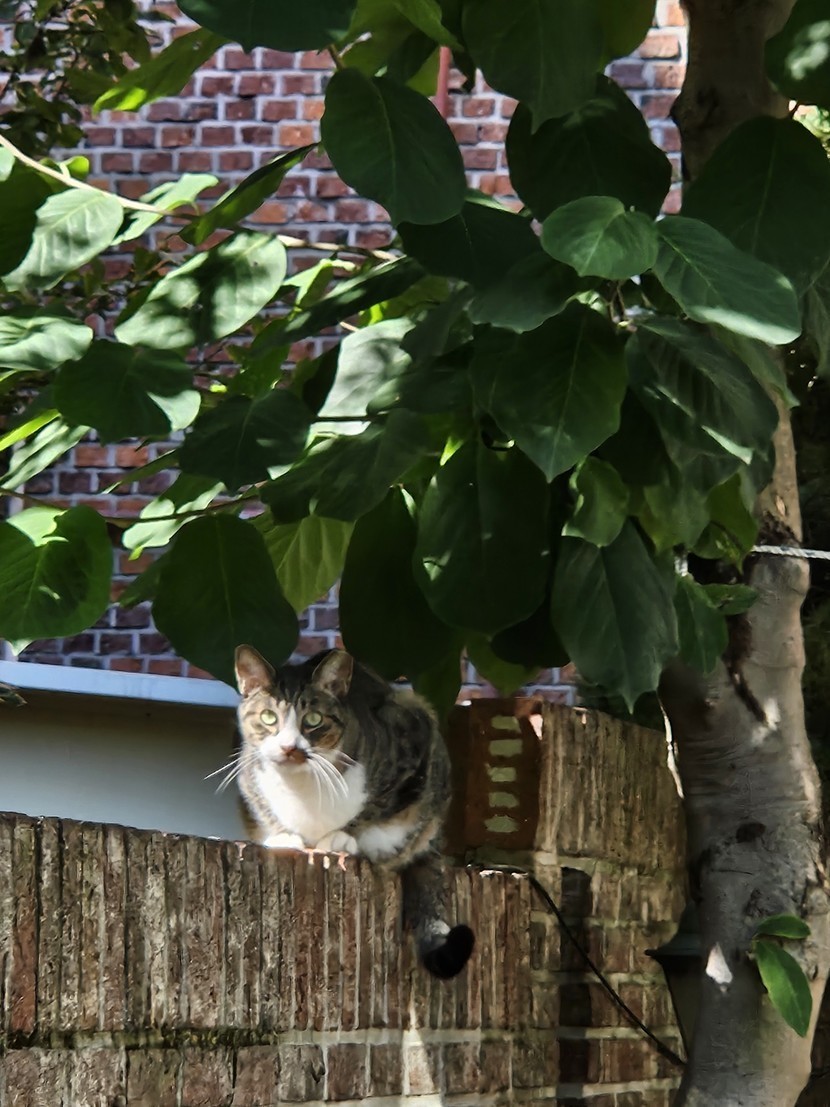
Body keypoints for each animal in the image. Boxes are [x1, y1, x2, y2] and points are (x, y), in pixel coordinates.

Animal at [233, 643, 474, 979]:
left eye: (314, 718)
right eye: (268, 717)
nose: (289, 747)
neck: (302, 787)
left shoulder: (413, 744)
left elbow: (376, 806)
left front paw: (341, 837)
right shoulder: (246, 768)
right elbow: (262, 804)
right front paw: (283, 836)